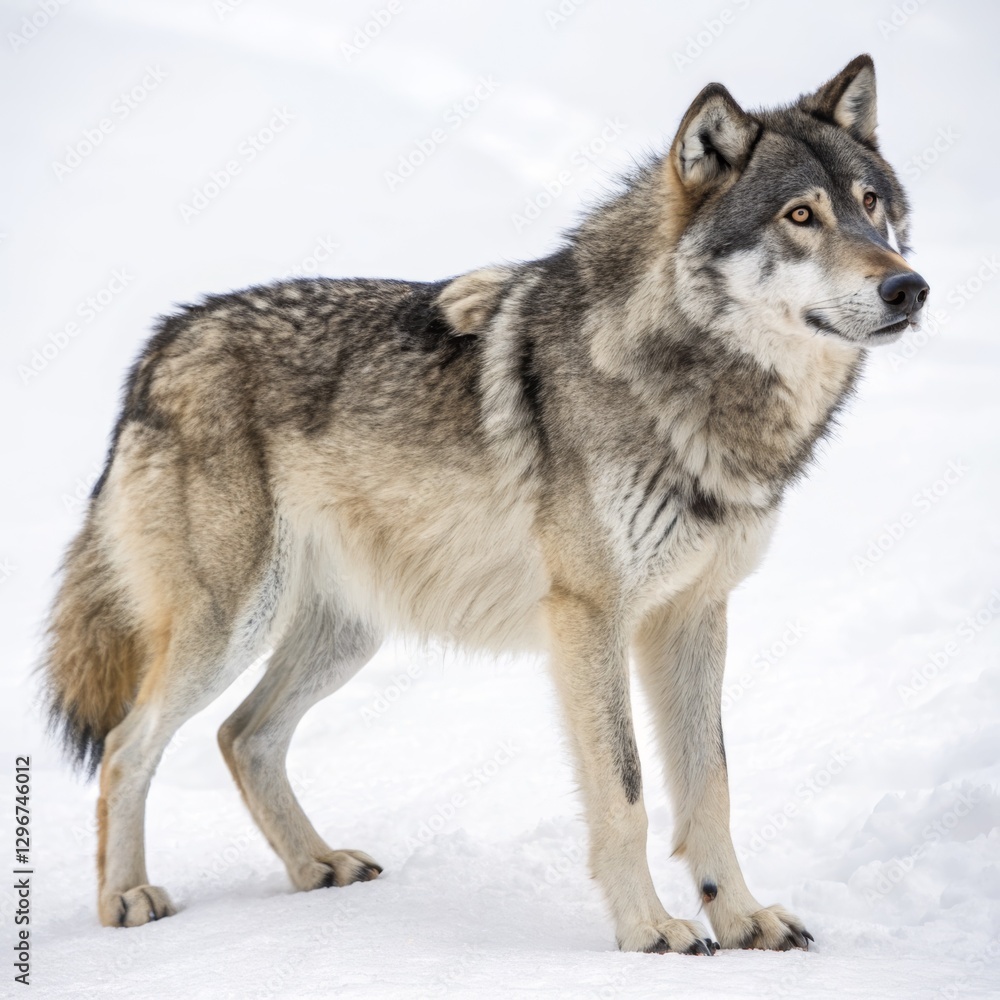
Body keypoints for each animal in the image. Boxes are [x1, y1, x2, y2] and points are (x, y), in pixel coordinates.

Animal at [43, 54, 927, 952]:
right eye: (800, 215)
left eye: (871, 205)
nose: (909, 287)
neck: (687, 380)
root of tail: (161, 344)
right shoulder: (590, 617)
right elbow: (627, 792)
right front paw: (650, 931)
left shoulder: (694, 613)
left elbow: (709, 785)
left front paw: (744, 920)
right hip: (230, 626)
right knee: (126, 744)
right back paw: (128, 897)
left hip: (344, 634)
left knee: (242, 735)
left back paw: (317, 865)